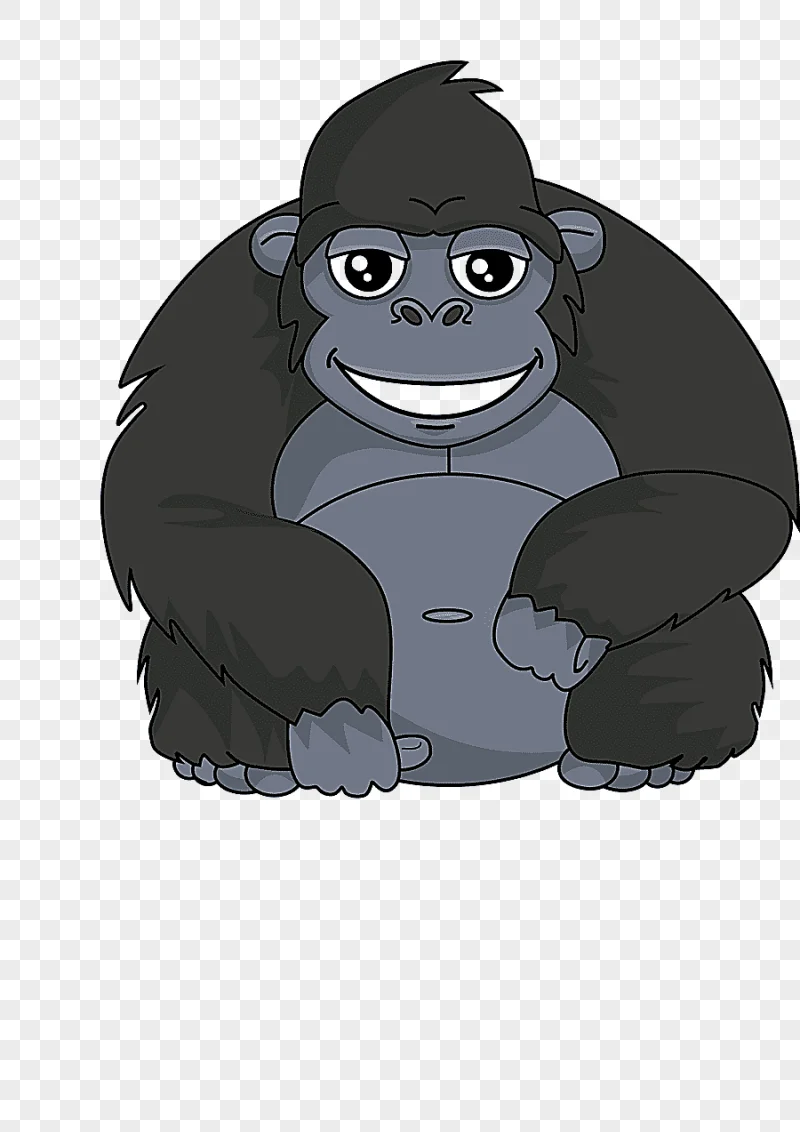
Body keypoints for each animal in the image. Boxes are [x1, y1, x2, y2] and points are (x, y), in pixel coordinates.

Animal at [101, 61, 797, 798]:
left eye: (489, 270)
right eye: (367, 271)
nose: (432, 310)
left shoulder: (659, 310)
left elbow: (729, 484)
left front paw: (550, 617)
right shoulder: (218, 339)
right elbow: (180, 508)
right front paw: (341, 721)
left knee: (700, 614)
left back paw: (636, 753)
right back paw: (240, 758)